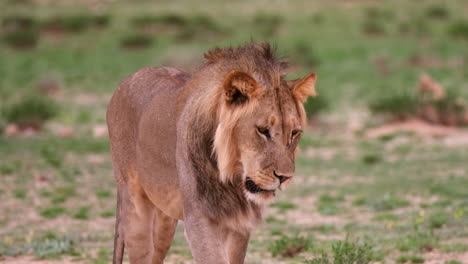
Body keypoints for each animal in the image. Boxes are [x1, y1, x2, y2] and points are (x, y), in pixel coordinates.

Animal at [106, 42, 318, 262]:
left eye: (294, 133)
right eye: (262, 130)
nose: (285, 177)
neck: (231, 176)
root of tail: (127, 80)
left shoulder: (239, 224)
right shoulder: (199, 219)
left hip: (164, 218)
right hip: (135, 208)